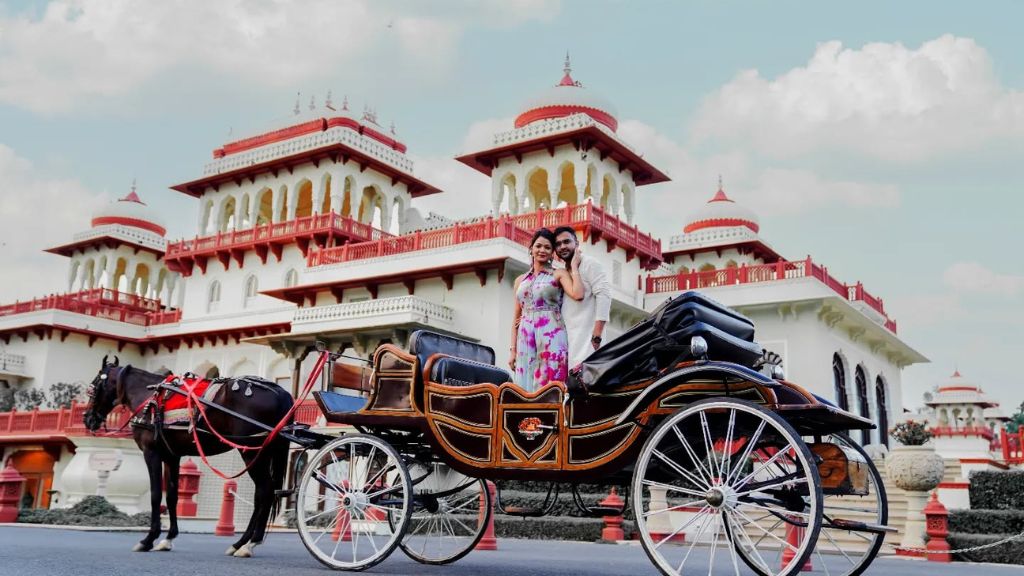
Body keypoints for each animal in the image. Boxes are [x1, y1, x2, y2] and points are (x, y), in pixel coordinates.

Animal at [82, 354, 294, 557]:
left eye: (92, 388)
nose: (88, 418)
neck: (148, 395)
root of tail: (283, 393)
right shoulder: (172, 455)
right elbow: (171, 495)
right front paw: (168, 538)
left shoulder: (152, 452)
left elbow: (155, 494)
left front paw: (149, 539)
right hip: (263, 451)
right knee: (262, 493)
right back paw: (242, 542)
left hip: (250, 450)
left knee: (265, 490)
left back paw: (249, 543)